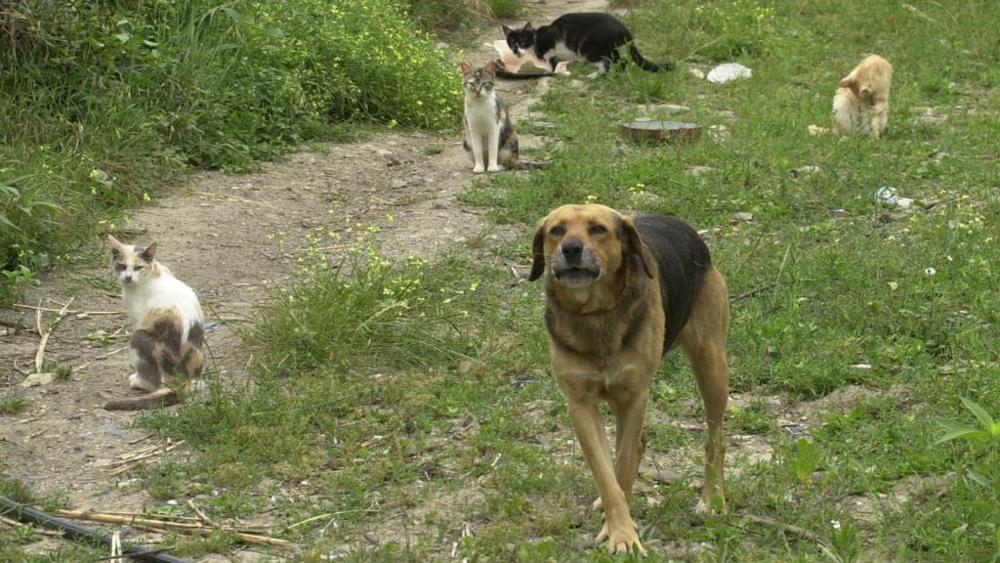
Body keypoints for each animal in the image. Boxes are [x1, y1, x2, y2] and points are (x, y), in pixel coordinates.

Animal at [103, 236, 205, 412]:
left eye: (138, 267)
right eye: (122, 266)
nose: (128, 277)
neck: (153, 272)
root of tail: (179, 379)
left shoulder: (138, 318)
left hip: (139, 338)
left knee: (154, 385)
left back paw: (137, 380)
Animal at [500, 12, 672, 78]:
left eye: (522, 41)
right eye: (512, 42)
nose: (516, 50)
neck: (536, 39)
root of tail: (624, 29)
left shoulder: (551, 44)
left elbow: (551, 62)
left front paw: (550, 72)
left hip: (589, 47)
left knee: (606, 64)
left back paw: (593, 76)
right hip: (609, 48)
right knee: (620, 60)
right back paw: (617, 74)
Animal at [528, 205, 732, 556]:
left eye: (598, 229)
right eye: (557, 230)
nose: (571, 249)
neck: (595, 314)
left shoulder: (635, 396)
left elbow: (621, 469)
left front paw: (621, 533)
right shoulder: (580, 404)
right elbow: (607, 477)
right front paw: (618, 526)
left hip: (711, 366)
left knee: (714, 440)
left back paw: (712, 498)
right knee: (640, 444)